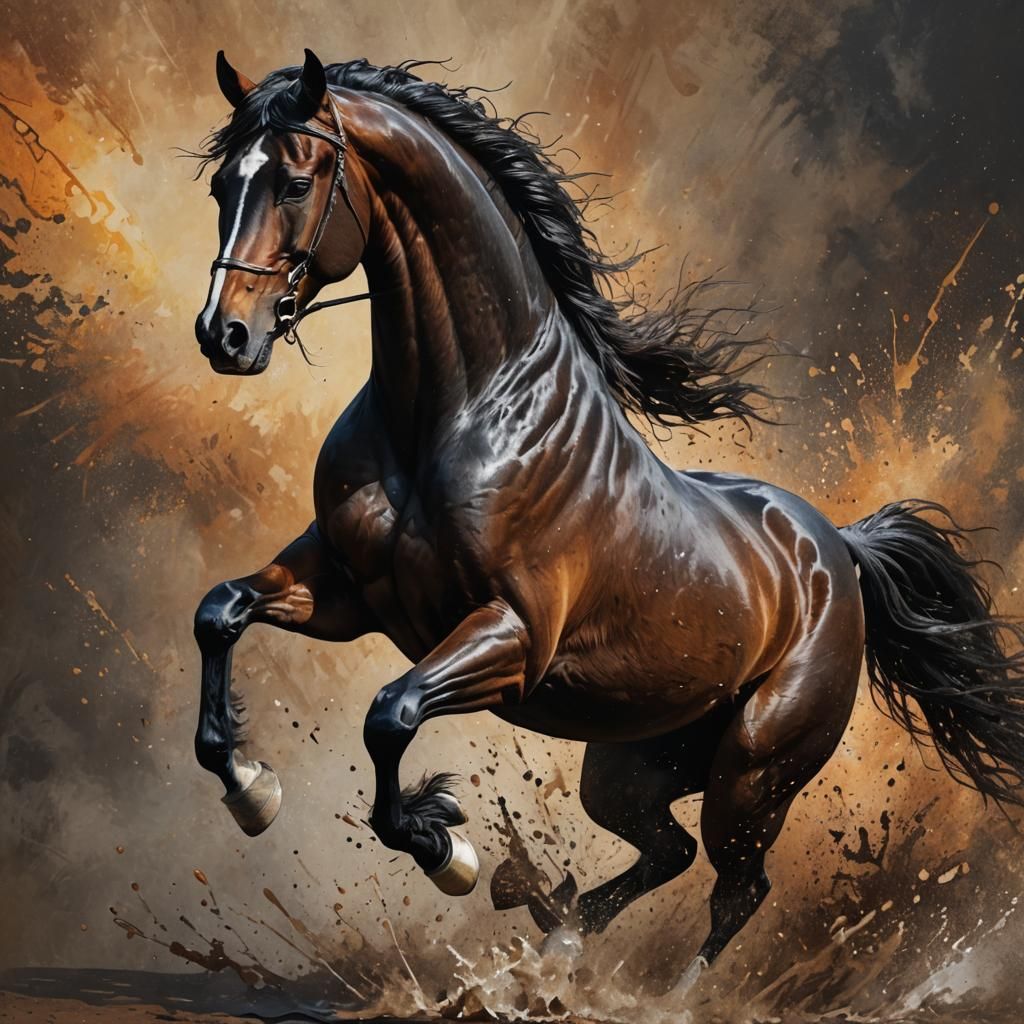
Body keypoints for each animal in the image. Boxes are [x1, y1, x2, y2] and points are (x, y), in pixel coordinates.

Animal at [190, 49, 1024, 983]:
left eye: (297, 182)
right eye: (223, 183)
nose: (224, 335)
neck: (457, 414)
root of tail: (836, 550)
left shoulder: (512, 637)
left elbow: (390, 713)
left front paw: (448, 851)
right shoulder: (344, 592)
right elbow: (220, 613)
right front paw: (253, 790)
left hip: (752, 771)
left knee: (736, 887)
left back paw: (661, 989)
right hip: (633, 766)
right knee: (668, 852)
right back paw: (556, 935)